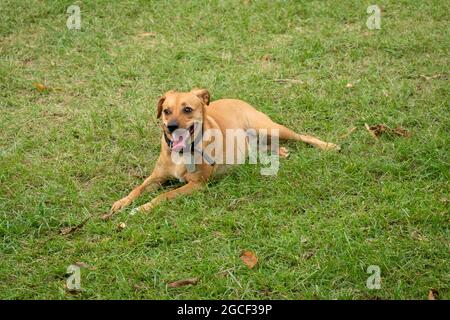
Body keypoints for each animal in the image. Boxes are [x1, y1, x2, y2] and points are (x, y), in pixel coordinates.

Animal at [108, 89, 338, 216]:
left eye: (187, 109)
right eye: (166, 111)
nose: (171, 127)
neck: (183, 152)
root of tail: (237, 99)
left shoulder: (196, 185)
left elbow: (164, 196)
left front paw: (143, 208)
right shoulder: (156, 177)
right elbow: (137, 189)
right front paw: (122, 202)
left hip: (270, 127)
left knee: (303, 136)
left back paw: (328, 146)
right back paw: (279, 152)